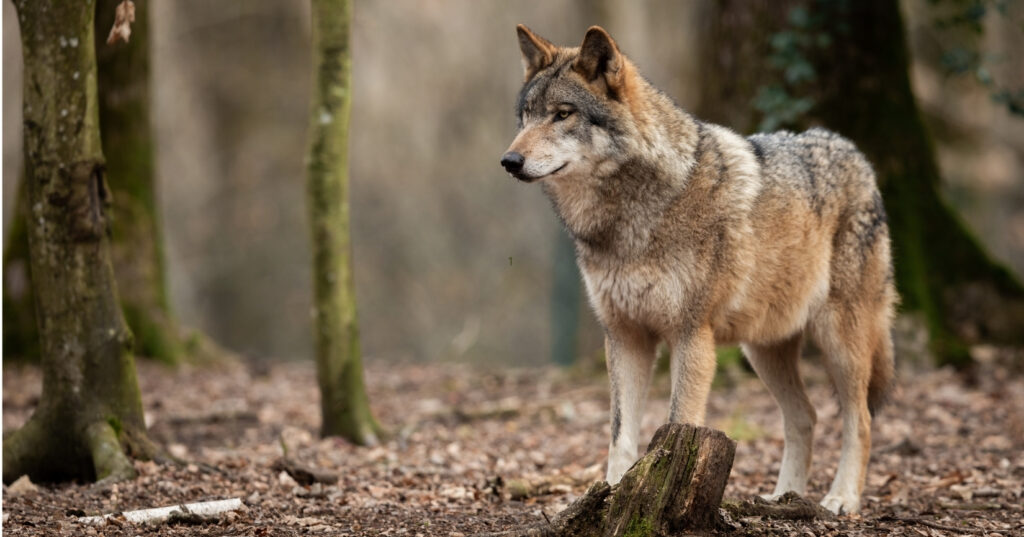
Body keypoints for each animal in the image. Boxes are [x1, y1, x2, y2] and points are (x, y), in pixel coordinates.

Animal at [500, 25, 897, 515]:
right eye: (526, 116)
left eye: (562, 114)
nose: (509, 162)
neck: (630, 218)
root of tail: (855, 152)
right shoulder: (625, 336)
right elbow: (620, 436)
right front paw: (611, 497)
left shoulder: (691, 336)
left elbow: (677, 424)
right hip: (763, 350)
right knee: (805, 415)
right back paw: (783, 497)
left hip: (840, 341)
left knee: (860, 419)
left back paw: (841, 498)